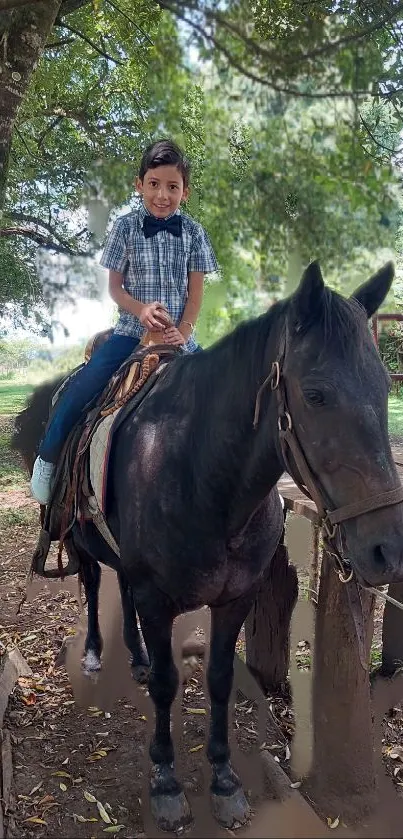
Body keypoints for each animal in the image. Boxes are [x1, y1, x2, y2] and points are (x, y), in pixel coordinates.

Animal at [11, 262, 403, 832]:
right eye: (316, 394)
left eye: (382, 386)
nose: (387, 550)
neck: (203, 477)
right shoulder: (158, 600)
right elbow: (167, 684)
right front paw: (166, 785)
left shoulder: (235, 599)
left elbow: (218, 679)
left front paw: (223, 780)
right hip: (78, 540)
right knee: (92, 582)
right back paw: (95, 653)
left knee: (119, 586)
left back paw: (135, 656)